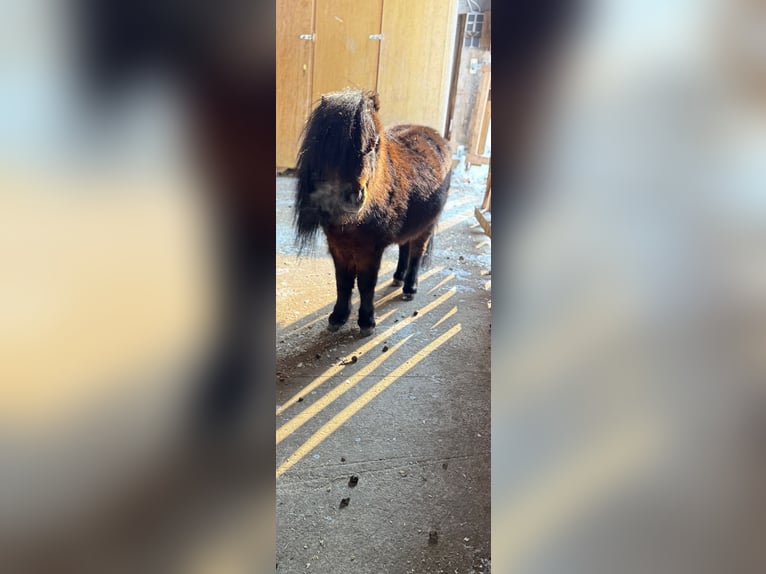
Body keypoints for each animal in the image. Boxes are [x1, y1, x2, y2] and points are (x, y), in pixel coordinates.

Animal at [294, 88, 452, 337]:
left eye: (374, 144)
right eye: (329, 147)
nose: (353, 197)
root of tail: (436, 136)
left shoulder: (370, 250)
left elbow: (366, 285)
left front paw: (366, 322)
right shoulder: (338, 247)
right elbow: (343, 283)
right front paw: (338, 317)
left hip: (425, 227)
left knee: (416, 253)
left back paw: (409, 288)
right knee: (405, 246)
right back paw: (398, 278)